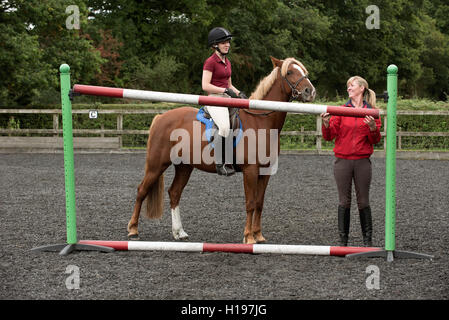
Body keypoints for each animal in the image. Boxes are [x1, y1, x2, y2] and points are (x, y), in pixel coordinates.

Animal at [126, 56, 316, 244]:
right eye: (289, 72)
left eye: (303, 71)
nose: (310, 91)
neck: (260, 122)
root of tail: (160, 117)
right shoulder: (251, 171)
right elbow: (250, 203)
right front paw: (249, 237)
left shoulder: (265, 172)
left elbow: (259, 203)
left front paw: (259, 235)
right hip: (157, 165)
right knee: (141, 191)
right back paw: (133, 230)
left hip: (184, 167)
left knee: (174, 193)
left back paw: (179, 232)